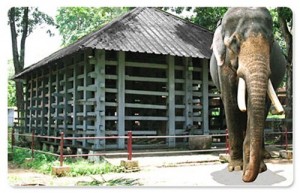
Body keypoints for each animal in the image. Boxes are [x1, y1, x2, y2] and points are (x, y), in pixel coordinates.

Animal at [209, 7, 286, 182]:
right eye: (234, 41)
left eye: (272, 41)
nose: (245, 177)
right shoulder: (223, 64)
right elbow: (230, 102)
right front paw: (236, 167)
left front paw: (260, 167)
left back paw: (265, 155)